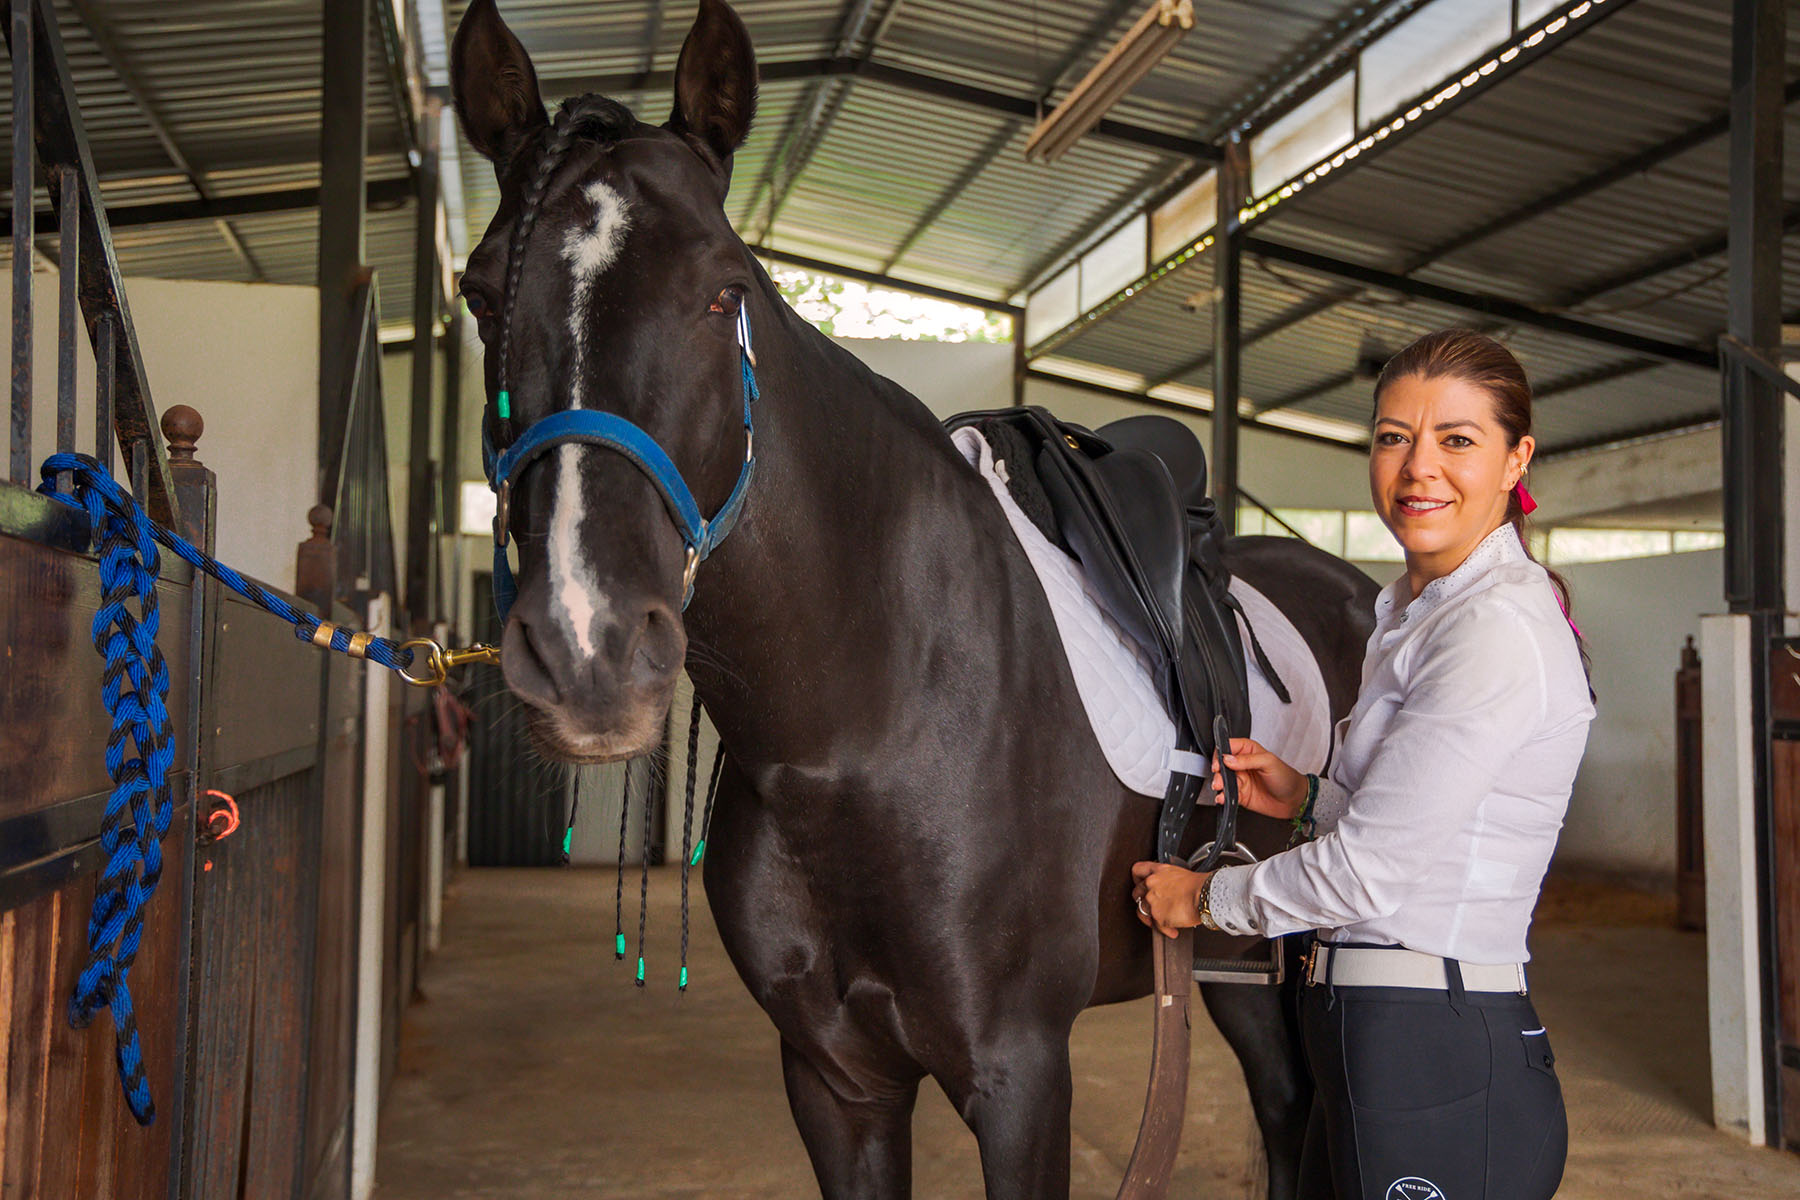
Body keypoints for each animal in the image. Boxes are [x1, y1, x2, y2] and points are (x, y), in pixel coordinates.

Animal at [453, 4, 1375, 1194]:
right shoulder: (838, 1081)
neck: (873, 718)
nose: (588, 649)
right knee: (1284, 1106)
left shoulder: (1019, 1075)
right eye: (479, 294)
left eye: (724, 290)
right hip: (1235, 963)